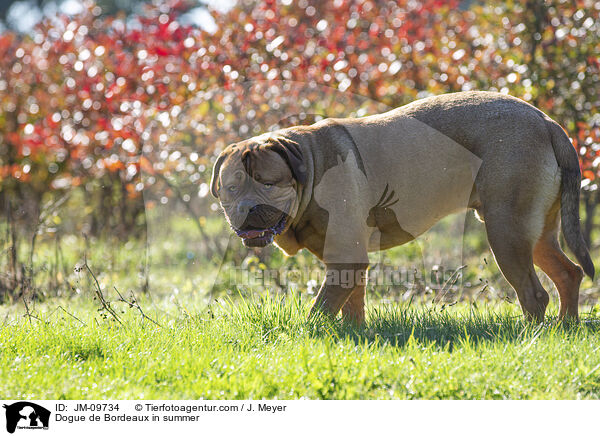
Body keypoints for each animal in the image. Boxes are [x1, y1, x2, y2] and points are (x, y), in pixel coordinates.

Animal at [211, 91, 596, 324]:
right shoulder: (348, 260)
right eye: (231, 188)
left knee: (534, 293)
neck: (311, 166)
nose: (246, 208)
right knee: (568, 273)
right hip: (537, 233)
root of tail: (547, 121)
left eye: (268, 184)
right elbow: (351, 304)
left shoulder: (346, 256)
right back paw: (565, 327)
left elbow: (321, 309)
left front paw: (309, 335)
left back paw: (531, 335)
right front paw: (352, 335)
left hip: (506, 231)